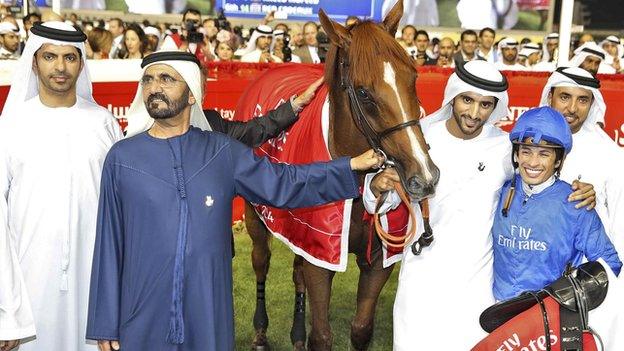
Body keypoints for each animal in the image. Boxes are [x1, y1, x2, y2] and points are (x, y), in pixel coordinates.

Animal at [244, 1, 438, 350]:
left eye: (413, 77)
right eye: (363, 93)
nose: (425, 176)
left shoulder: (375, 258)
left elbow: (361, 328)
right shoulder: (321, 253)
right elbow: (322, 335)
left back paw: (296, 334)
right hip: (255, 216)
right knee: (261, 260)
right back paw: (261, 333)